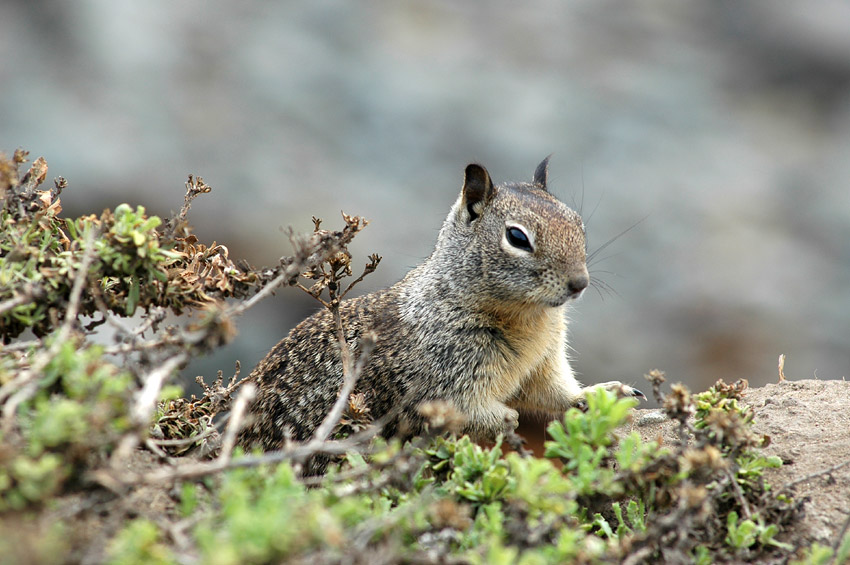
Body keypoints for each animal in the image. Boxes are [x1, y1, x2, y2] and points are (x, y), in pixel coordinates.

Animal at [238, 158, 644, 462]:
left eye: (578, 223)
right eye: (517, 237)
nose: (580, 283)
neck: (529, 318)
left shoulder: (543, 365)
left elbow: (557, 393)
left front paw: (605, 393)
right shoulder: (444, 382)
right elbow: (469, 411)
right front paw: (507, 419)